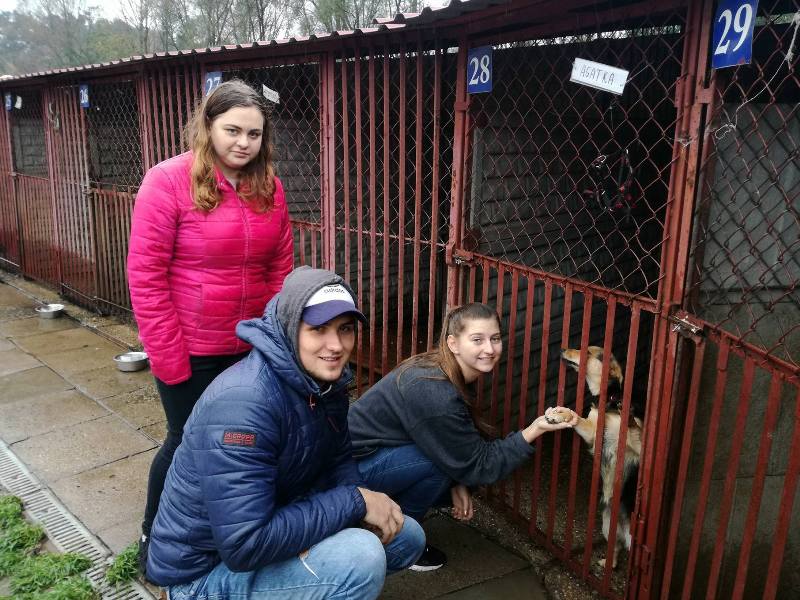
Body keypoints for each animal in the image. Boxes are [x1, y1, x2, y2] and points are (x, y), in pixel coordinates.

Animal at [559, 346, 642, 569]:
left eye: (588, 352)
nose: (563, 349)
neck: (610, 401)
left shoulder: (638, 449)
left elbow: (635, 431)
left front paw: (629, 418)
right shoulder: (592, 432)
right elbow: (574, 416)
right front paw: (561, 414)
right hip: (606, 524)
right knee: (617, 548)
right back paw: (607, 562)